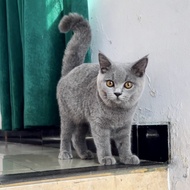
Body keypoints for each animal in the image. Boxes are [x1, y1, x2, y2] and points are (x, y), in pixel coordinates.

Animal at [56, 13, 148, 165]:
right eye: (110, 83)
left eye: (128, 84)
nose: (117, 93)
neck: (117, 113)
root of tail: (70, 71)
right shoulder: (99, 124)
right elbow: (103, 142)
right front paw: (106, 158)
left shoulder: (125, 126)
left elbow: (125, 143)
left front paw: (127, 157)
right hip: (68, 114)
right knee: (66, 134)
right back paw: (64, 153)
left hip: (83, 118)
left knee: (77, 136)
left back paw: (85, 154)